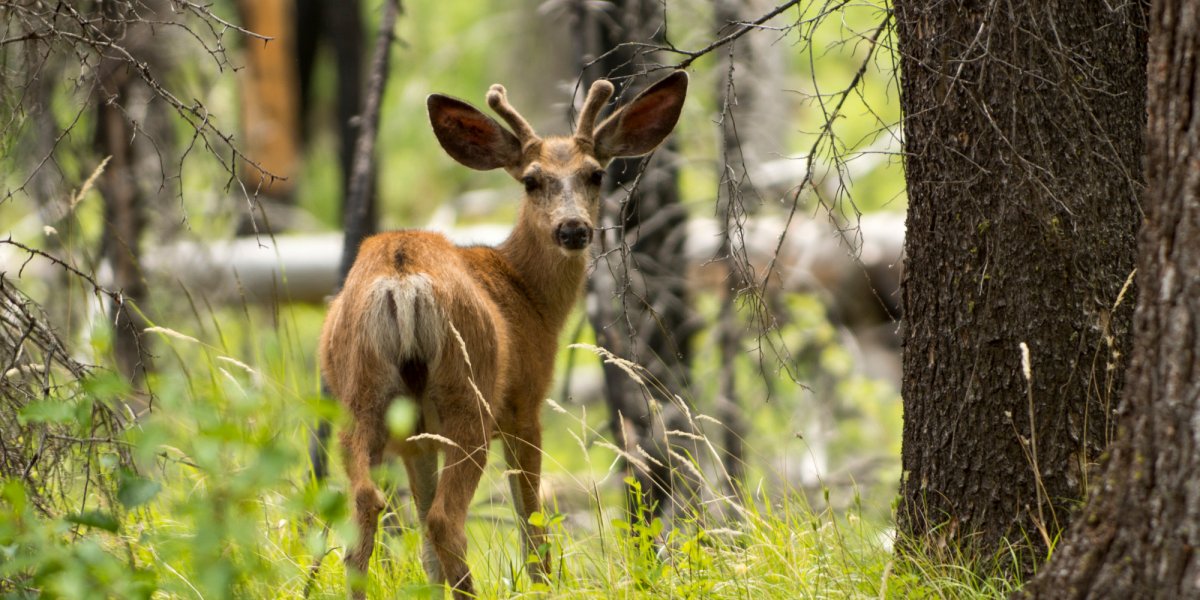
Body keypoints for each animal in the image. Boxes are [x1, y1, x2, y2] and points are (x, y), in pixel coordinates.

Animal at [318, 70, 688, 598]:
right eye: (532, 180)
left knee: (367, 504)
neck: (527, 293)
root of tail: (401, 275)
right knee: (445, 520)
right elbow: (531, 522)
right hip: (468, 393)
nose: (573, 229)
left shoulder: (415, 441)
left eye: (595, 174)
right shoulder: (525, 406)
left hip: (359, 392)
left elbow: (426, 548)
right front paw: (546, 584)